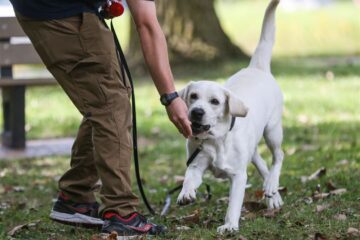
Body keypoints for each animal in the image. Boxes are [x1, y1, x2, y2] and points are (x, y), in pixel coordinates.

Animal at [177, 0, 284, 232]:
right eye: (193, 96)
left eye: (215, 101)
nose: (196, 112)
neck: (216, 139)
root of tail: (257, 67)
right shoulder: (196, 165)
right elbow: (189, 178)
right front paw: (185, 193)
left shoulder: (238, 175)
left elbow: (234, 203)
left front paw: (229, 225)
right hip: (253, 147)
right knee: (261, 162)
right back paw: (272, 193)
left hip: (272, 131)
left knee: (278, 156)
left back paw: (272, 183)